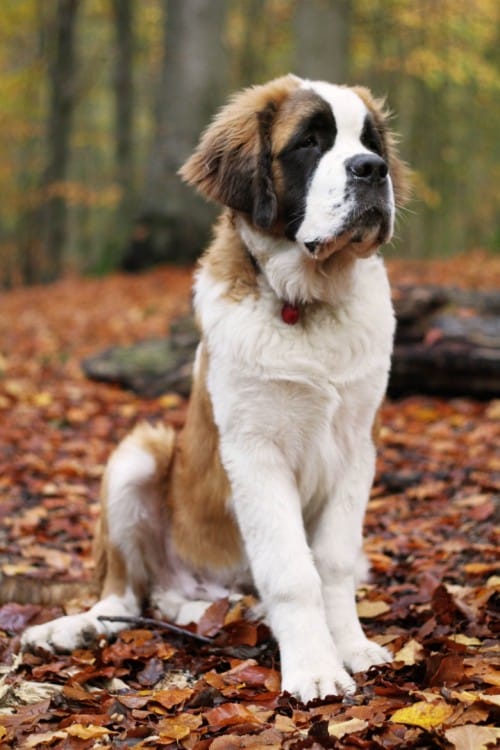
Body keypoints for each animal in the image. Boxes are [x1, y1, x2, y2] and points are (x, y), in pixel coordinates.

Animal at [23, 75, 408, 702]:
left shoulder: (356, 449)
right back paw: (71, 629)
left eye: (369, 142)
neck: (306, 303)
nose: (372, 169)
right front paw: (315, 668)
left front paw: (352, 649)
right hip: (140, 453)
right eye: (310, 142)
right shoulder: (254, 453)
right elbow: (293, 571)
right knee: (123, 595)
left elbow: (332, 562)